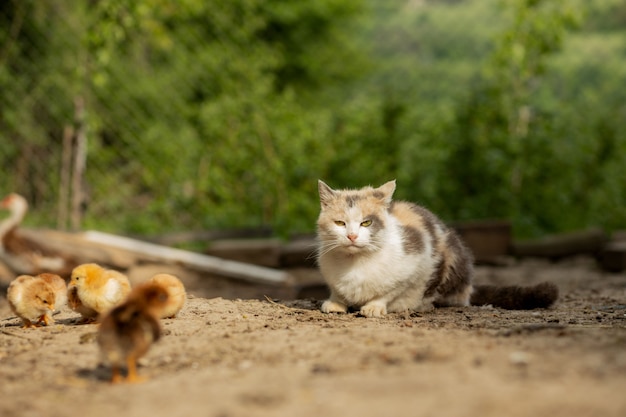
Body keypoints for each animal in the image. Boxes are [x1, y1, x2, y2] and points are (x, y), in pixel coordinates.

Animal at [316, 177, 556, 316]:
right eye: (340, 223)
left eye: (367, 222)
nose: (352, 236)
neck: (355, 264)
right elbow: (337, 291)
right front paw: (335, 303)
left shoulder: (417, 262)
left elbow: (392, 290)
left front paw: (375, 307)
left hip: (453, 255)